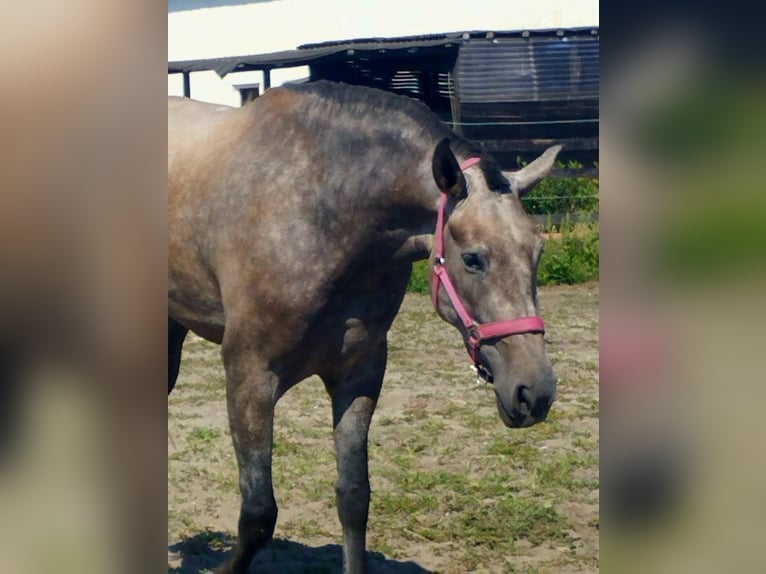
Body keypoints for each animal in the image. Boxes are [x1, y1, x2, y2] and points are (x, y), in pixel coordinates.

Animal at [168, 82, 560, 574]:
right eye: (473, 258)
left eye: (538, 251)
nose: (535, 392)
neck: (324, 209)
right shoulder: (249, 377)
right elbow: (258, 514)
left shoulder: (359, 374)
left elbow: (354, 498)